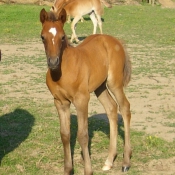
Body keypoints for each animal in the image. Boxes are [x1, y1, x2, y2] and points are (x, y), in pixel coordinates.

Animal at [39, 7, 132, 174]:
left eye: (62, 37)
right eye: (43, 37)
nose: (53, 62)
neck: (64, 71)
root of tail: (116, 41)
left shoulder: (81, 100)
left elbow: (83, 135)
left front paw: (88, 170)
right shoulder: (60, 102)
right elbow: (65, 134)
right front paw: (68, 169)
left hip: (114, 83)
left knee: (125, 107)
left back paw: (126, 161)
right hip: (100, 87)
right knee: (111, 108)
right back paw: (109, 160)